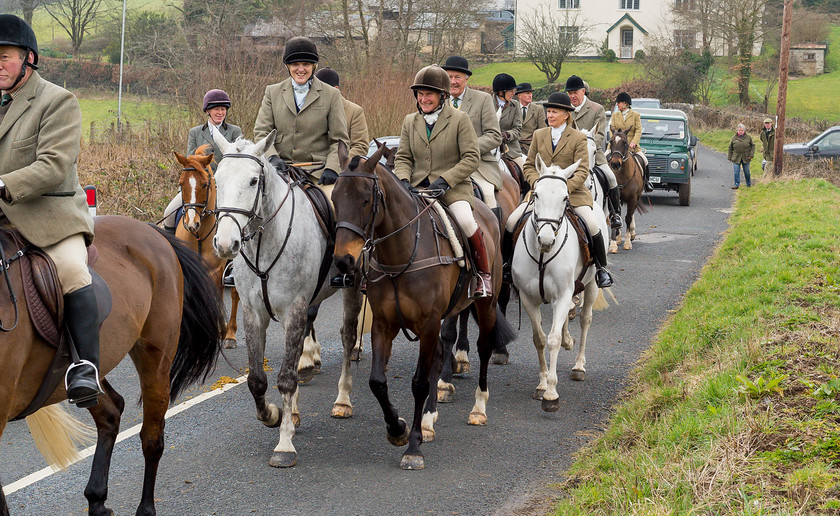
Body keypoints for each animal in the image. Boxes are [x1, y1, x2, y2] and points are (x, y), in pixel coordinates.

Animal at [0, 216, 223, 516]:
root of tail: (147, 228)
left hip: (155, 358)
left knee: (152, 438)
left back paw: (145, 508)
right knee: (111, 412)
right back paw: (97, 499)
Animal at [174, 143, 240, 348]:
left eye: (204, 184)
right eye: (181, 184)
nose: (191, 224)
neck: (199, 235)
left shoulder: (215, 269)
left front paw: (220, 330)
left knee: (234, 294)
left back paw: (229, 333)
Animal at [209, 128, 360, 468]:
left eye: (254, 180)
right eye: (217, 180)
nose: (225, 244)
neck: (265, 243)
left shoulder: (294, 310)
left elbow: (286, 378)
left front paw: (284, 445)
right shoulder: (253, 313)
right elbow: (257, 380)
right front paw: (275, 415)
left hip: (352, 288)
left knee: (347, 337)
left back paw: (343, 400)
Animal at [330, 140, 516, 468]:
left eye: (366, 200)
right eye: (335, 198)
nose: (343, 261)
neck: (401, 253)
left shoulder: (428, 324)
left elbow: (418, 382)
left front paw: (413, 446)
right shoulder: (384, 325)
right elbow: (377, 381)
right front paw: (398, 429)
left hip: (486, 304)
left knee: (482, 347)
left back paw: (478, 408)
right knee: (441, 355)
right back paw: (429, 420)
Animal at [512, 156, 612, 412]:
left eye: (566, 198)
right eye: (536, 194)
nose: (546, 241)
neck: (542, 256)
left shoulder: (562, 295)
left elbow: (553, 339)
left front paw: (551, 394)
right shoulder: (528, 297)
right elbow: (539, 339)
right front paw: (541, 385)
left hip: (591, 284)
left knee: (585, 319)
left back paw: (578, 366)